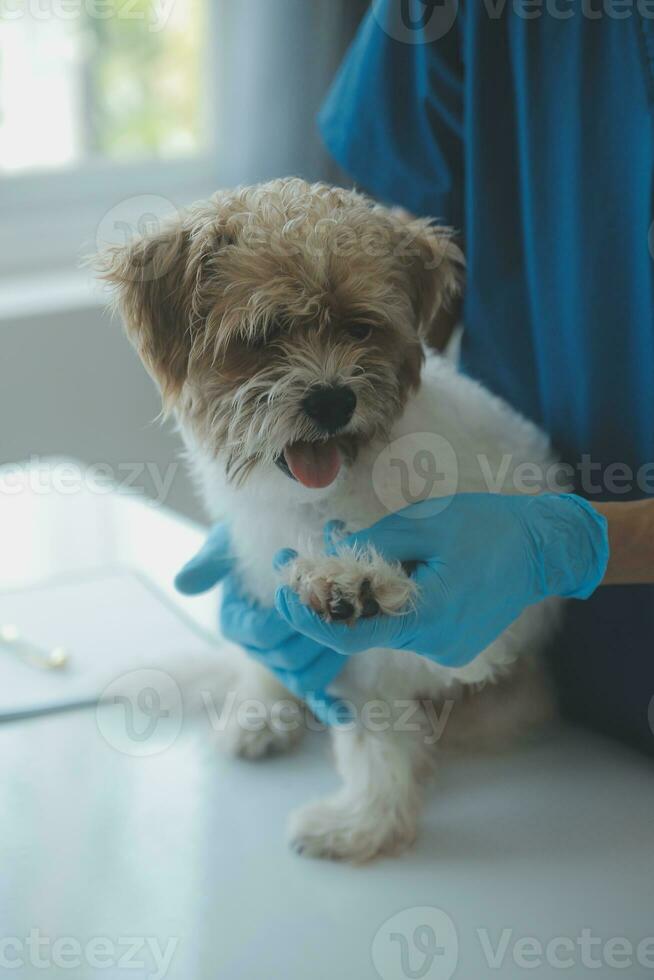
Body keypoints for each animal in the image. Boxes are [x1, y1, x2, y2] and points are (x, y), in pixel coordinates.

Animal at [102, 180, 564, 860]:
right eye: (263, 334)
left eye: (360, 327)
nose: (331, 399)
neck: (328, 499)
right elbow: (373, 737)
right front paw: (368, 818)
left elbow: (463, 632)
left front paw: (359, 582)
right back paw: (266, 715)